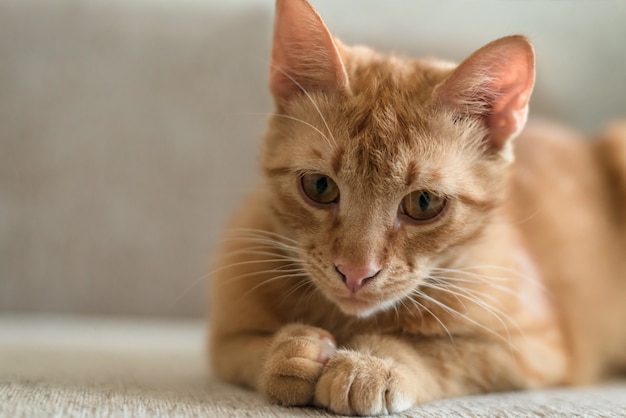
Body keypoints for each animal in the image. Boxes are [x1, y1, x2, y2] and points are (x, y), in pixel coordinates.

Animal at [208, 0, 624, 414]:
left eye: (424, 203)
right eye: (319, 186)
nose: (355, 273)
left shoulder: (533, 349)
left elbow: (437, 351)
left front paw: (372, 362)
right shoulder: (224, 340)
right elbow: (247, 349)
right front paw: (289, 353)